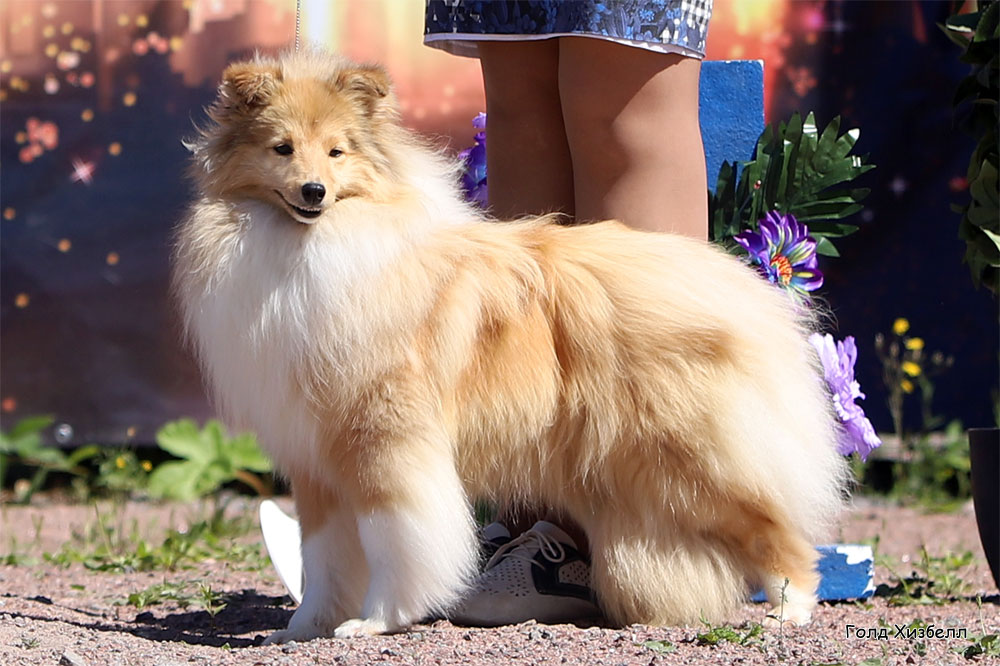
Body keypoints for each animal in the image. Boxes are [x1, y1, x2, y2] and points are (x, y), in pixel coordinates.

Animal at [176, 49, 848, 640]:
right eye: (281, 148)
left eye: (337, 151)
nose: (313, 191)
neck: (314, 243)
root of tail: (739, 286)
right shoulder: (316, 459)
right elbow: (322, 559)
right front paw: (302, 629)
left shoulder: (388, 446)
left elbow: (397, 544)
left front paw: (375, 622)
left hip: (695, 465)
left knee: (780, 531)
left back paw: (789, 610)